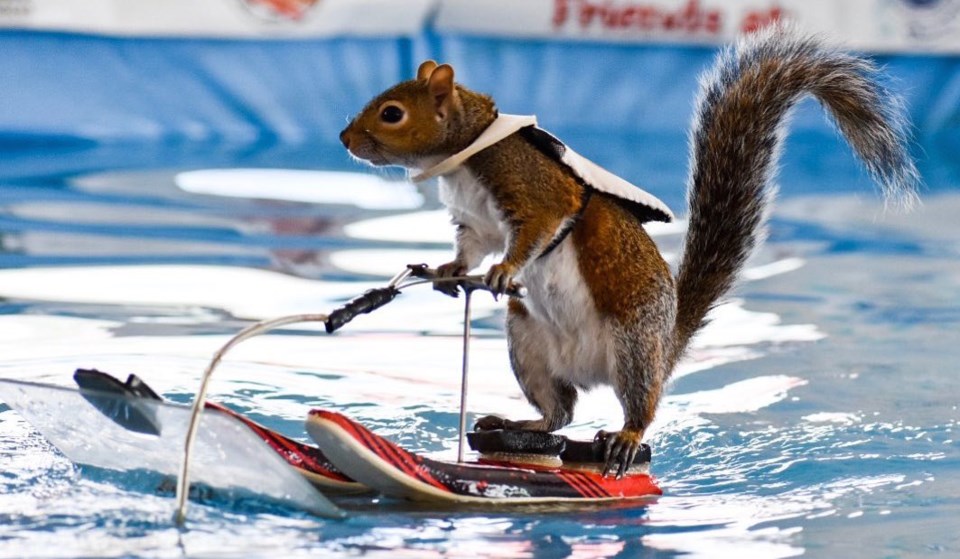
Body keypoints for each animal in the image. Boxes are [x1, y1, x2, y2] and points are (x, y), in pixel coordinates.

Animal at [338, 21, 916, 476]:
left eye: (391, 113)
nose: (345, 138)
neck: (466, 152)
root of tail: (664, 344)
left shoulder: (534, 189)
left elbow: (536, 229)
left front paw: (504, 269)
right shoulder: (475, 223)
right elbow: (469, 250)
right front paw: (446, 271)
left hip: (632, 344)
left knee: (637, 406)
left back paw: (626, 437)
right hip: (529, 346)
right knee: (559, 414)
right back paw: (523, 420)